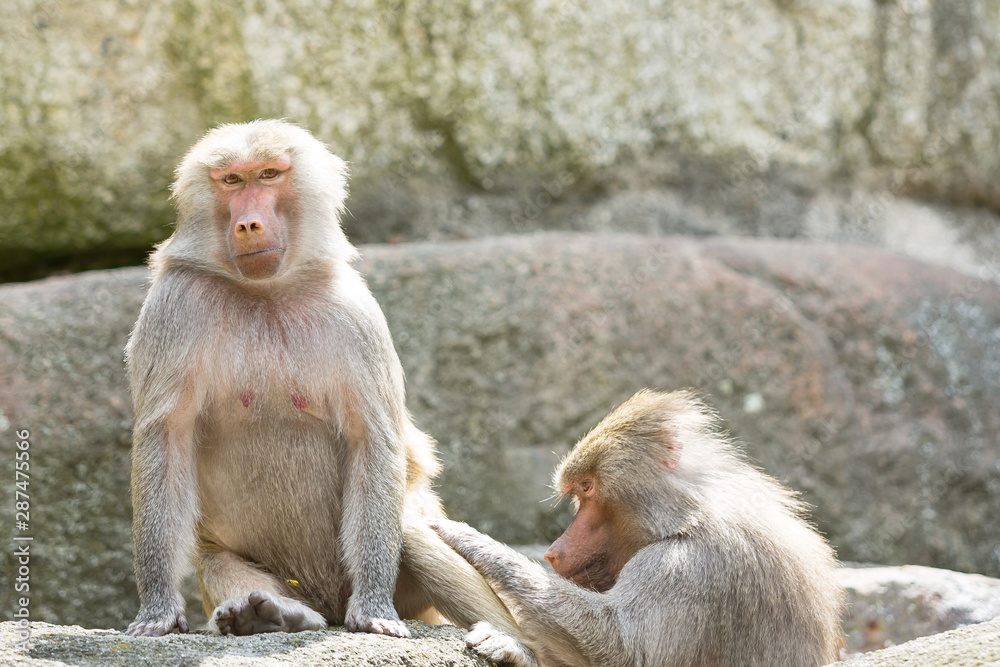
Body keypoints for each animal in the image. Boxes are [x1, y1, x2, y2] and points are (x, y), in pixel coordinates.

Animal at [124, 119, 524, 642]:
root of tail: (328, 608)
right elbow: (165, 437)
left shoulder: (355, 315)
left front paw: (374, 608)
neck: (266, 293)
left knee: (413, 528)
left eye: (269, 174)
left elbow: (373, 438)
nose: (247, 224)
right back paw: (271, 615)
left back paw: (511, 642)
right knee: (218, 562)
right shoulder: (172, 307)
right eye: (231, 180)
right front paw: (157, 610)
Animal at [432, 389, 844, 667]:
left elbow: (623, 651)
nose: (553, 551)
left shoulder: (685, 568)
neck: (686, 516)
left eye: (587, 488)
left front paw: (470, 539)